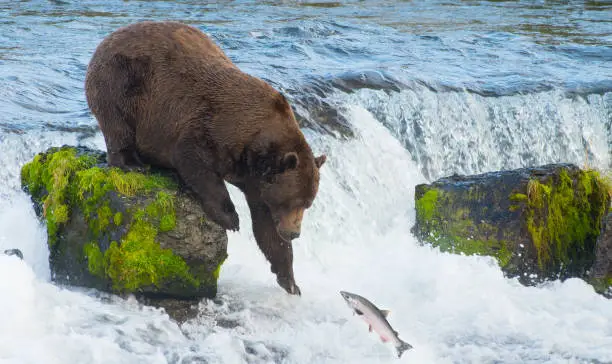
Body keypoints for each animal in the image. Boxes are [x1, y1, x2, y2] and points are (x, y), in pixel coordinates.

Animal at [85, 21, 330, 296]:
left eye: (307, 203)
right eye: (293, 201)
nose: (294, 233)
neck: (256, 149)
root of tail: (107, 39)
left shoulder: (258, 182)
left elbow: (266, 227)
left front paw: (289, 279)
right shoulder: (212, 126)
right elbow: (195, 161)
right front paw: (231, 218)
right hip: (124, 80)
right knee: (118, 122)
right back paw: (133, 163)